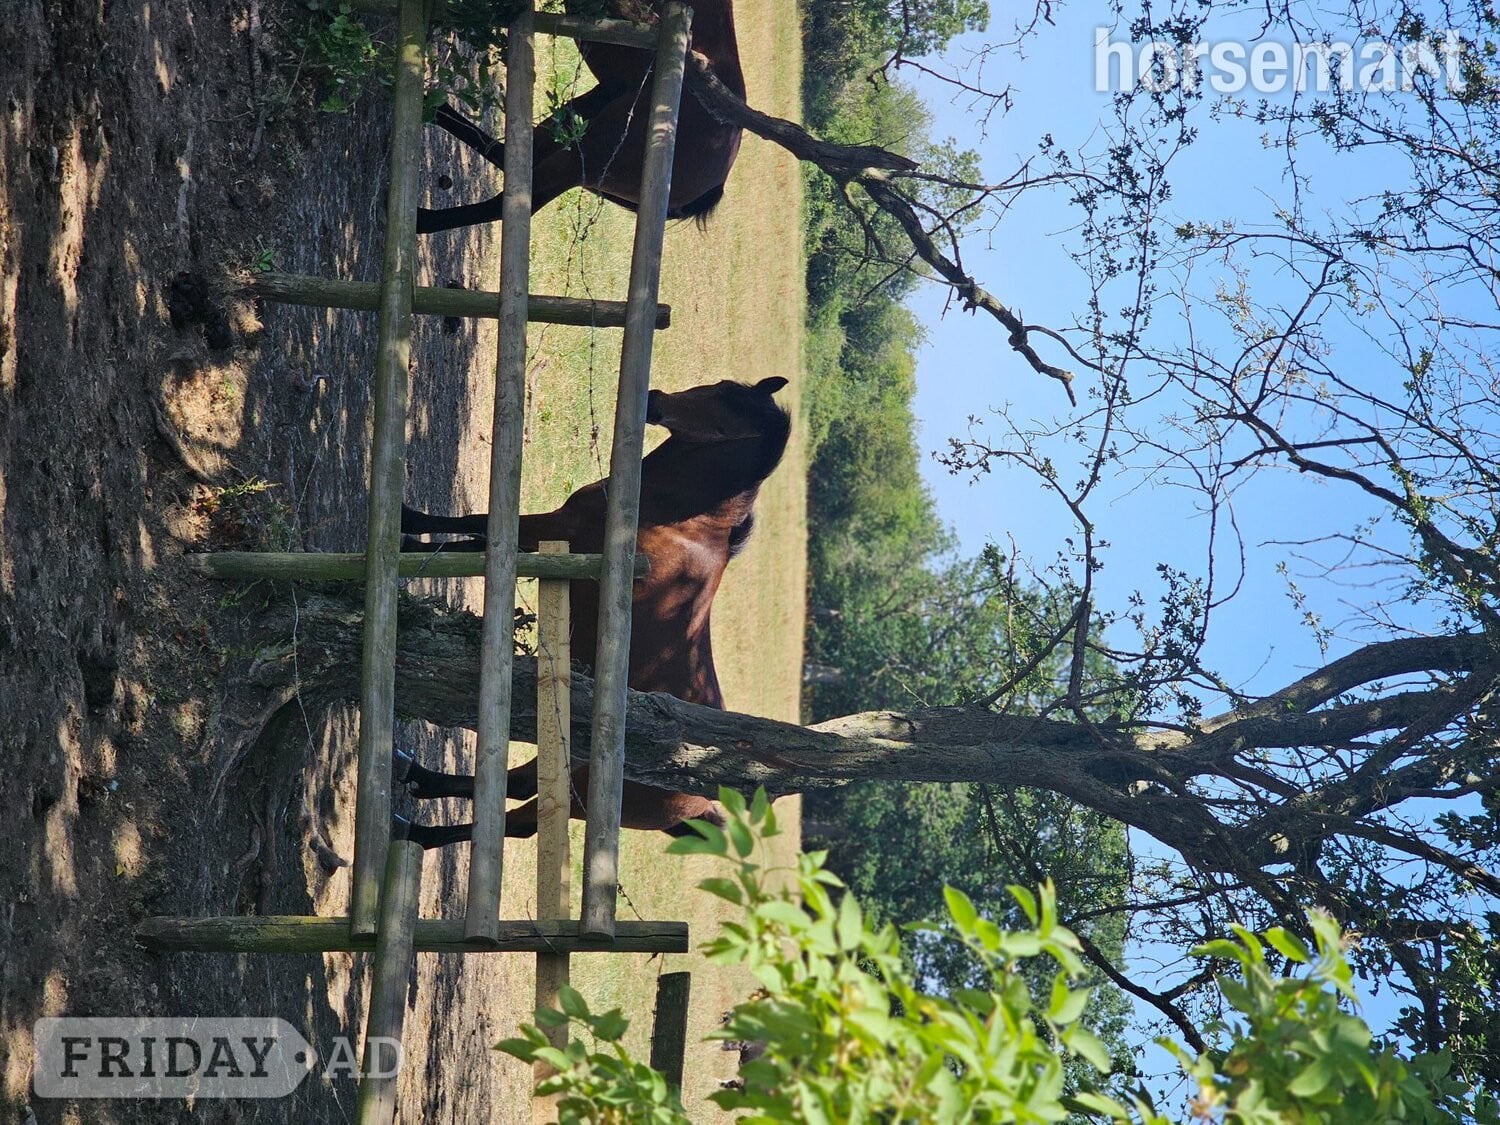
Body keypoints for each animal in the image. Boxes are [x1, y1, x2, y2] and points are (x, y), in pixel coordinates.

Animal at [395, 376, 790, 846]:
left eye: (728, 407)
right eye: (721, 386)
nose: (654, 401)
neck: (681, 521)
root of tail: (699, 804)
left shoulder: (550, 528)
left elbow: (477, 523)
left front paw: (405, 525)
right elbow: (475, 540)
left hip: (580, 790)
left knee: (521, 821)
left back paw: (414, 829)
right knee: (521, 784)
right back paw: (417, 777)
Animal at [416, 0, 746, 233]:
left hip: (584, 157)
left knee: (510, 199)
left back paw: (419, 221)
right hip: (583, 116)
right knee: (509, 155)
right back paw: (430, 106)